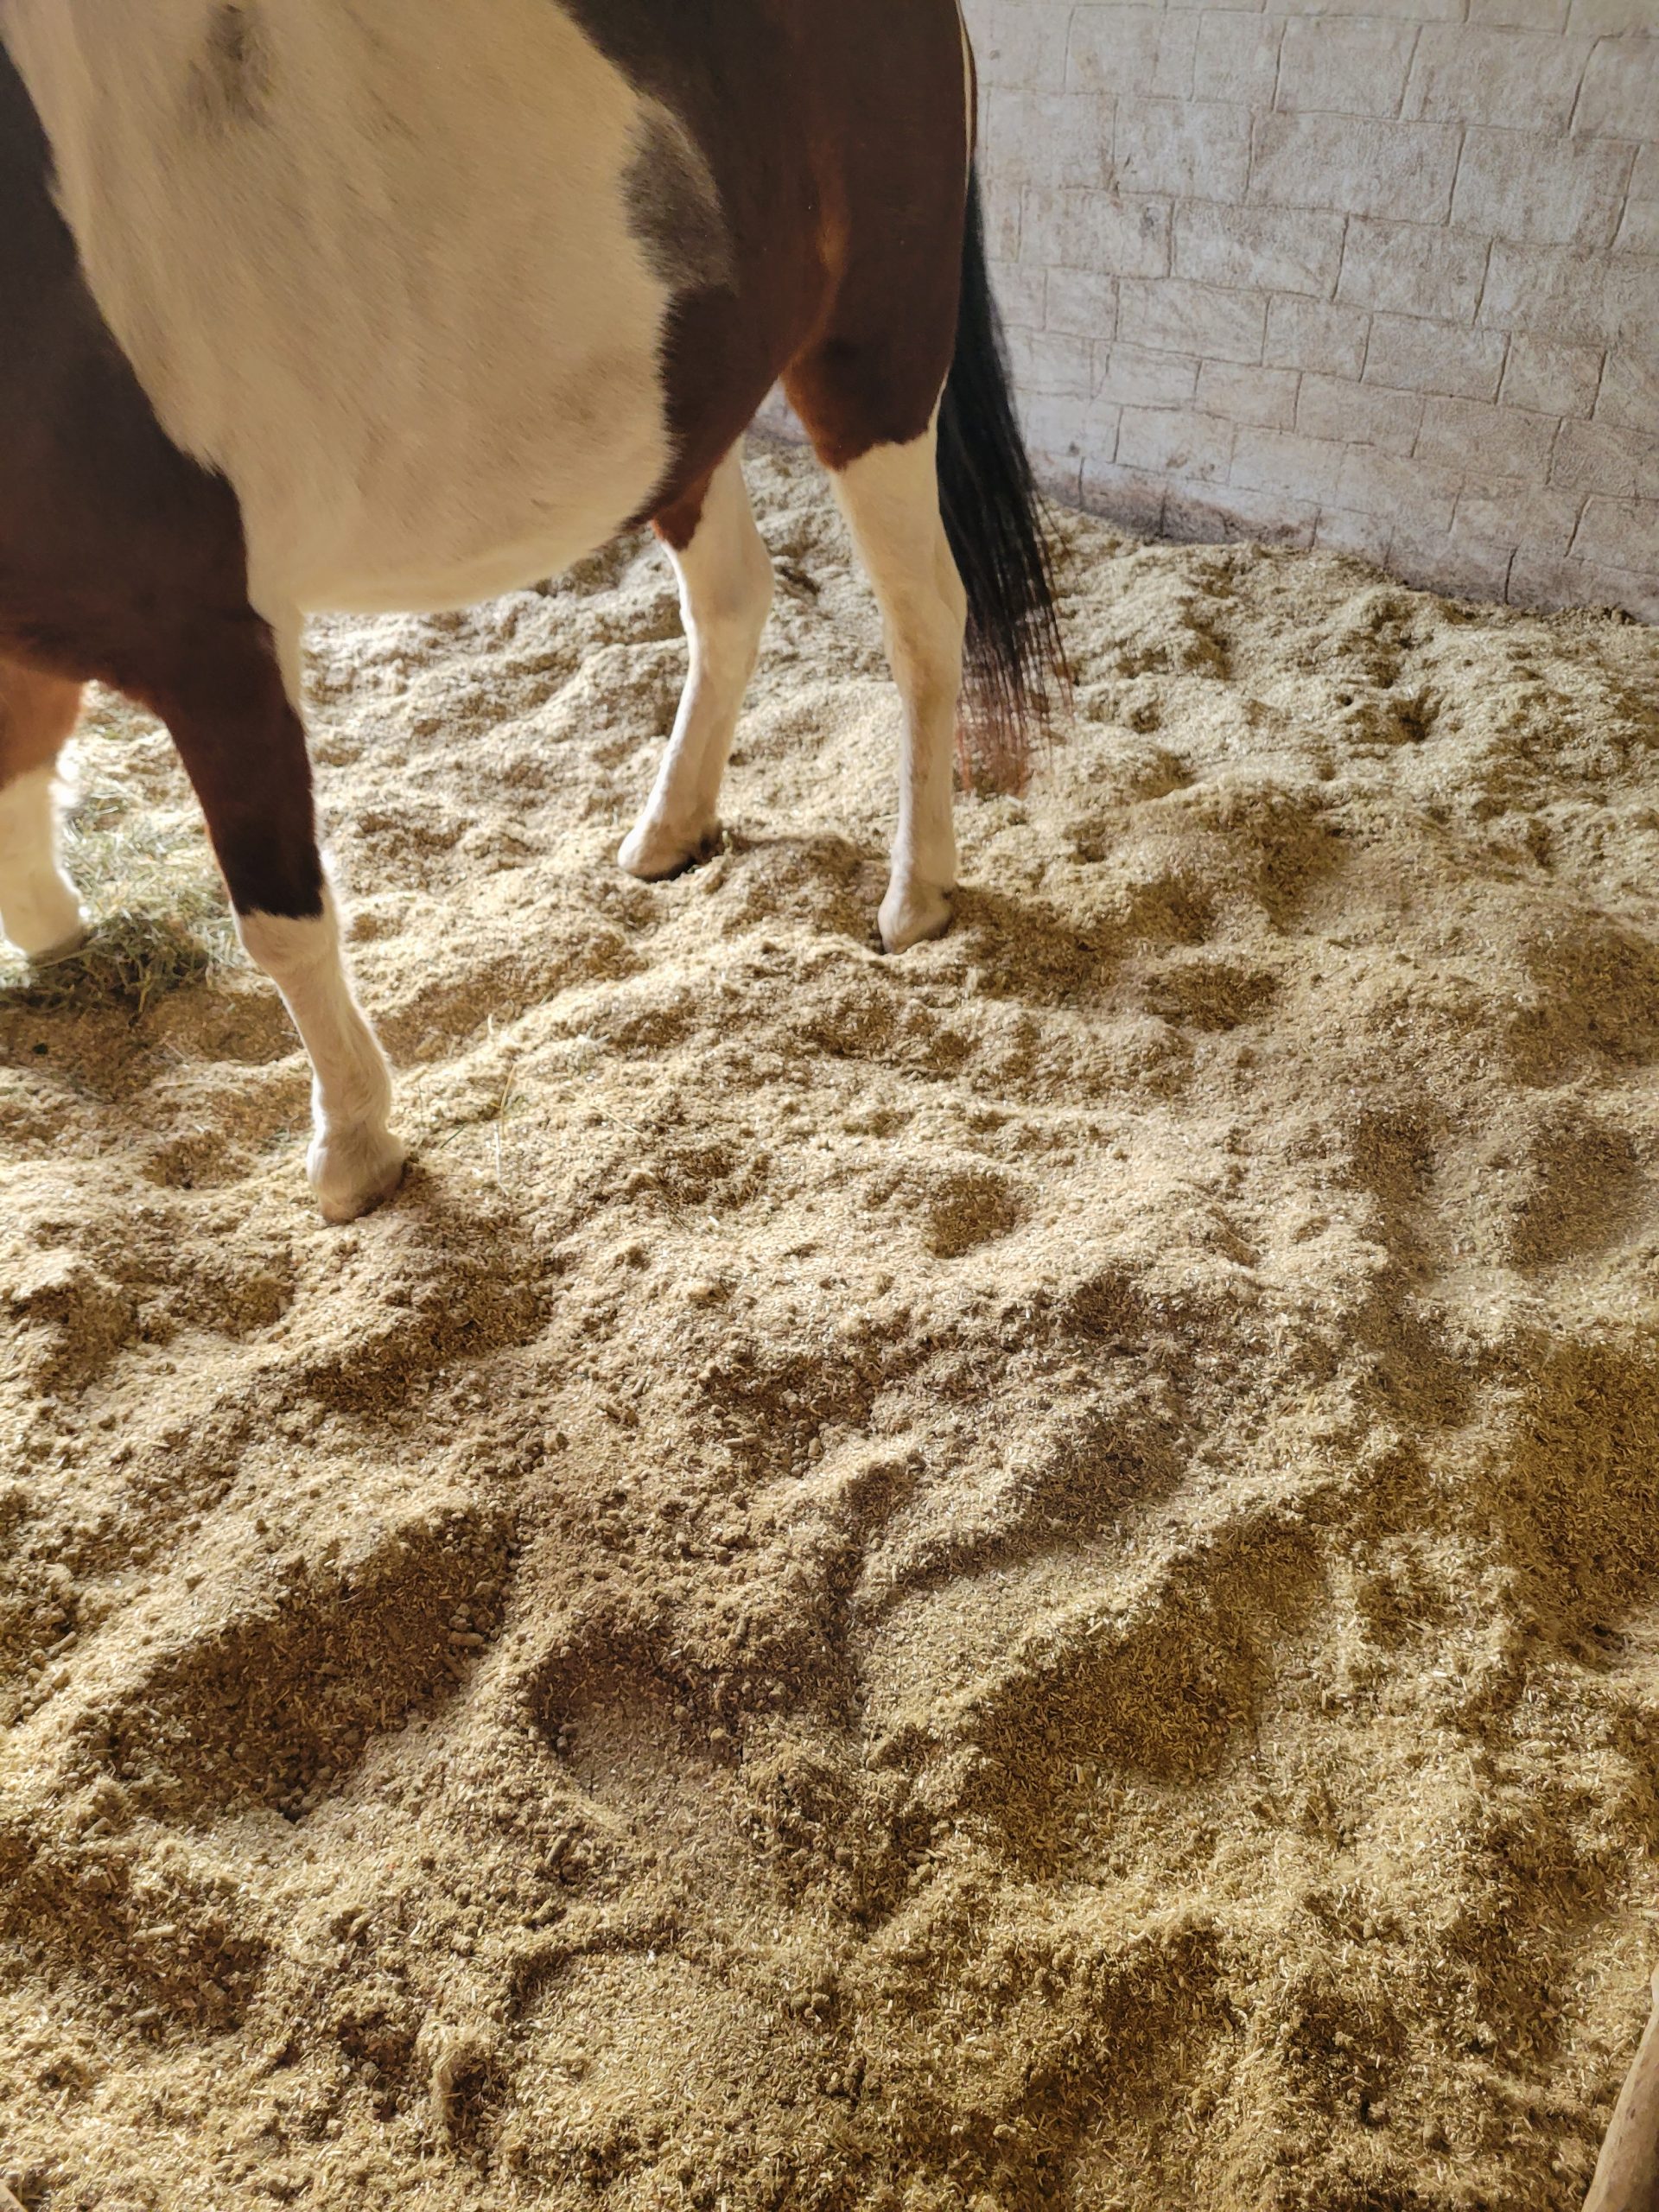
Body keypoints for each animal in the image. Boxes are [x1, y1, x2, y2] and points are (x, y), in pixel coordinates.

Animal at [0, 1, 1064, 1221]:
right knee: (733, 598)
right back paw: (670, 830)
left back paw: (917, 894)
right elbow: (19, 804)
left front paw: (356, 1147)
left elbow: (279, 918)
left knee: (923, 617)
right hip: (686, 412)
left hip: (873, 357)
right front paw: (64, 949)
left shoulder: (216, 644)